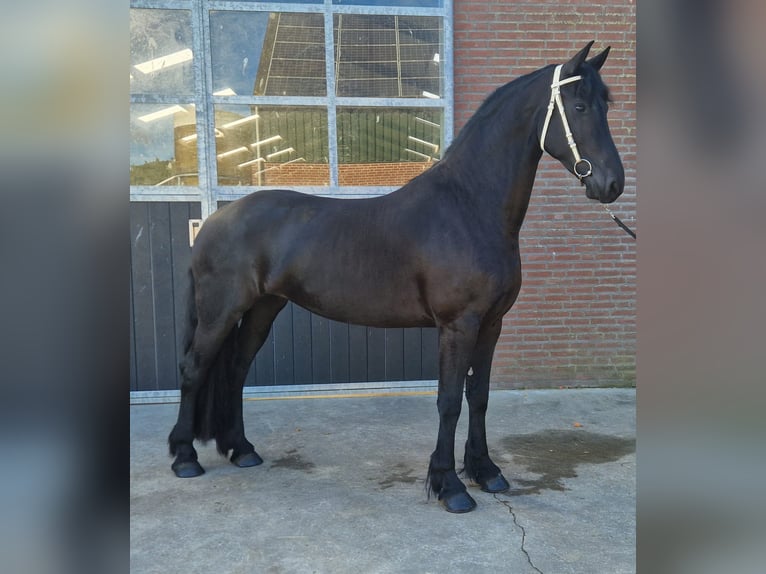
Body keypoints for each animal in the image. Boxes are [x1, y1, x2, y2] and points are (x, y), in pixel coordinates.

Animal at [168, 42, 625, 513]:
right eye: (579, 105)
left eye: (606, 106)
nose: (611, 184)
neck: (468, 207)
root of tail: (214, 220)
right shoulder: (458, 326)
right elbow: (449, 402)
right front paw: (450, 486)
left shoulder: (491, 325)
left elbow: (478, 397)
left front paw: (486, 472)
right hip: (221, 311)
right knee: (194, 369)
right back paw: (185, 458)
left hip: (262, 308)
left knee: (237, 369)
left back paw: (242, 450)